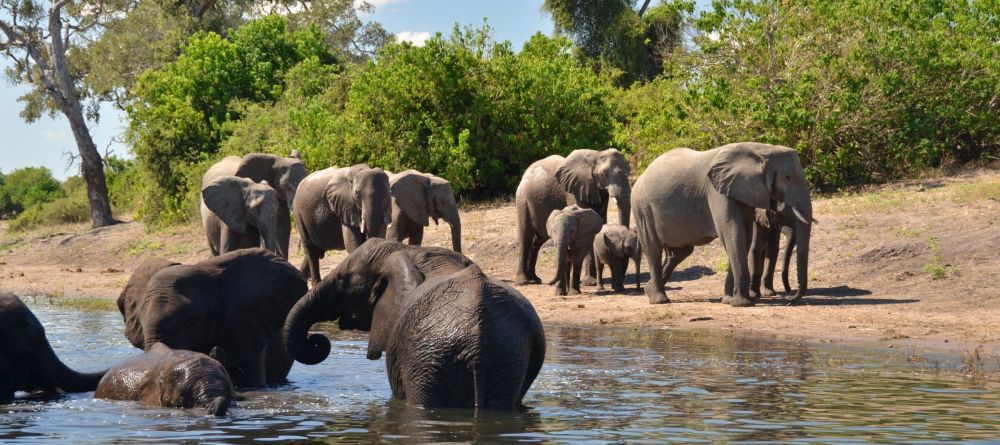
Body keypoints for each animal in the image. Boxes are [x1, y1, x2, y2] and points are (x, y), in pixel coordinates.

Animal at [282, 239, 548, 410]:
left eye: (343, 281)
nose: (317, 339)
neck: (410, 250)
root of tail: (477, 344)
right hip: (506, 360)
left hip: (426, 359)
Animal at [516, 147, 632, 282]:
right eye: (604, 174)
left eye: (629, 172)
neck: (597, 155)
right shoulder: (574, 190)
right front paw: (590, 282)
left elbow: (598, 224)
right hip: (523, 200)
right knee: (525, 236)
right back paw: (523, 281)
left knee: (538, 240)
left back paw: (534, 279)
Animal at [632, 142, 812, 306]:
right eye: (787, 176)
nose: (789, 299)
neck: (760, 149)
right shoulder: (717, 192)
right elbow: (733, 234)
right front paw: (742, 303)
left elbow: (744, 238)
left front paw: (728, 301)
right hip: (642, 208)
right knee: (653, 249)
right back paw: (660, 300)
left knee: (680, 252)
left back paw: (649, 290)